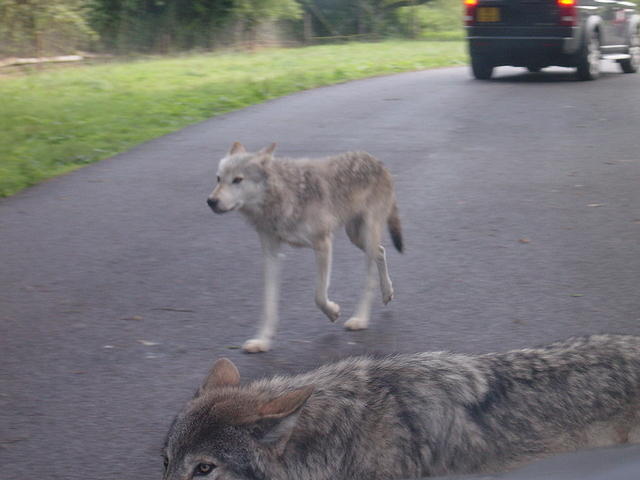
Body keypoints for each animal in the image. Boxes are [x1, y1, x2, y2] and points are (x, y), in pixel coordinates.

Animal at [208, 142, 402, 352]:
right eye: (218, 179)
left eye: (237, 180)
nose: (211, 201)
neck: (283, 195)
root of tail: (377, 161)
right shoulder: (271, 254)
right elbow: (268, 304)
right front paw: (262, 341)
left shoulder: (323, 243)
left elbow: (319, 296)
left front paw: (332, 312)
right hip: (357, 237)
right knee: (381, 251)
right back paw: (387, 293)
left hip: (366, 235)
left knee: (369, 278)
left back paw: (360, 319)